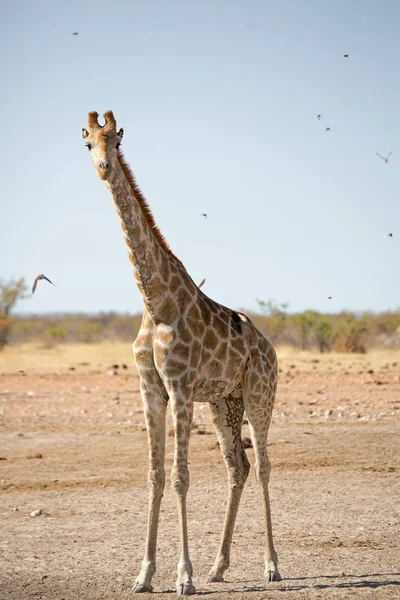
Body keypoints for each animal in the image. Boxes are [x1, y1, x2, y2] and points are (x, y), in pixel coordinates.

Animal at [81, 111, 282, 596]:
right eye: (87, 143)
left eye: (116, 141)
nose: (104, 169)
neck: (155, 302)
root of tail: (270, 348)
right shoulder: (151, 390)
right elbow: (155, 476)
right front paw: (144, 575)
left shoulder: (181, 387)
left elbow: (179, 477)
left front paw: (183, 576)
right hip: (224, 402)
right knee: (237, 467)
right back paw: (219, 566)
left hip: (259, 395)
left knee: (263, 466)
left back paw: (271, 566)